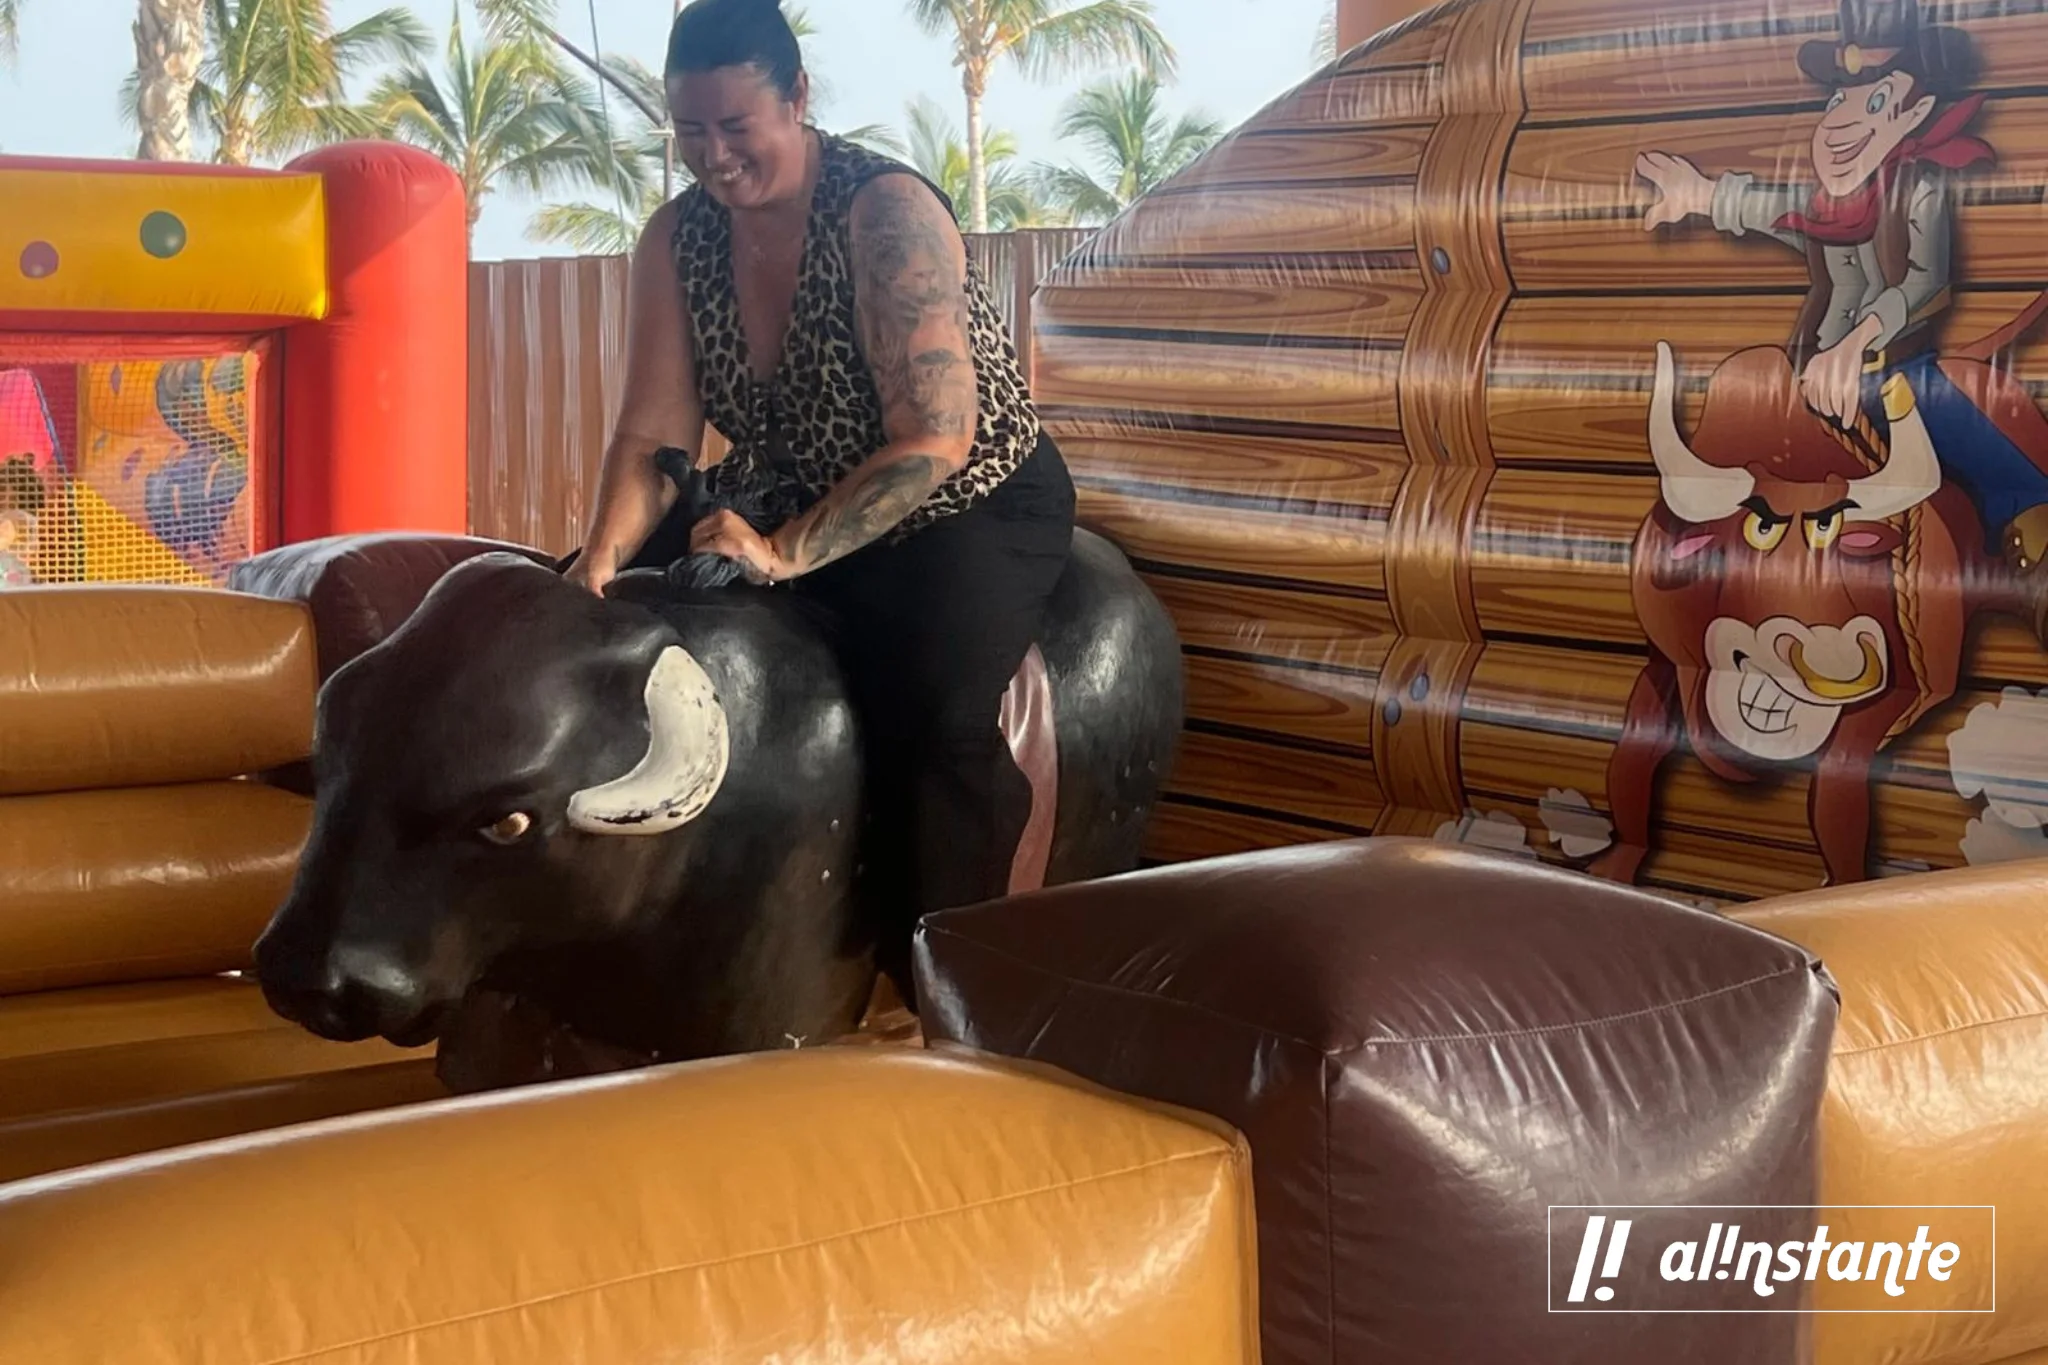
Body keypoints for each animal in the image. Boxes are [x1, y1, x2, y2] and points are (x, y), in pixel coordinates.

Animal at [1588, 340, 1993, 887]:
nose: (1830, 656)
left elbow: (1835, 794)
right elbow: (1633, 753)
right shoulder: (1662, 658)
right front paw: (1615, 863)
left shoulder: (1907, 688)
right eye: (1760, 527)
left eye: (1834, 531)